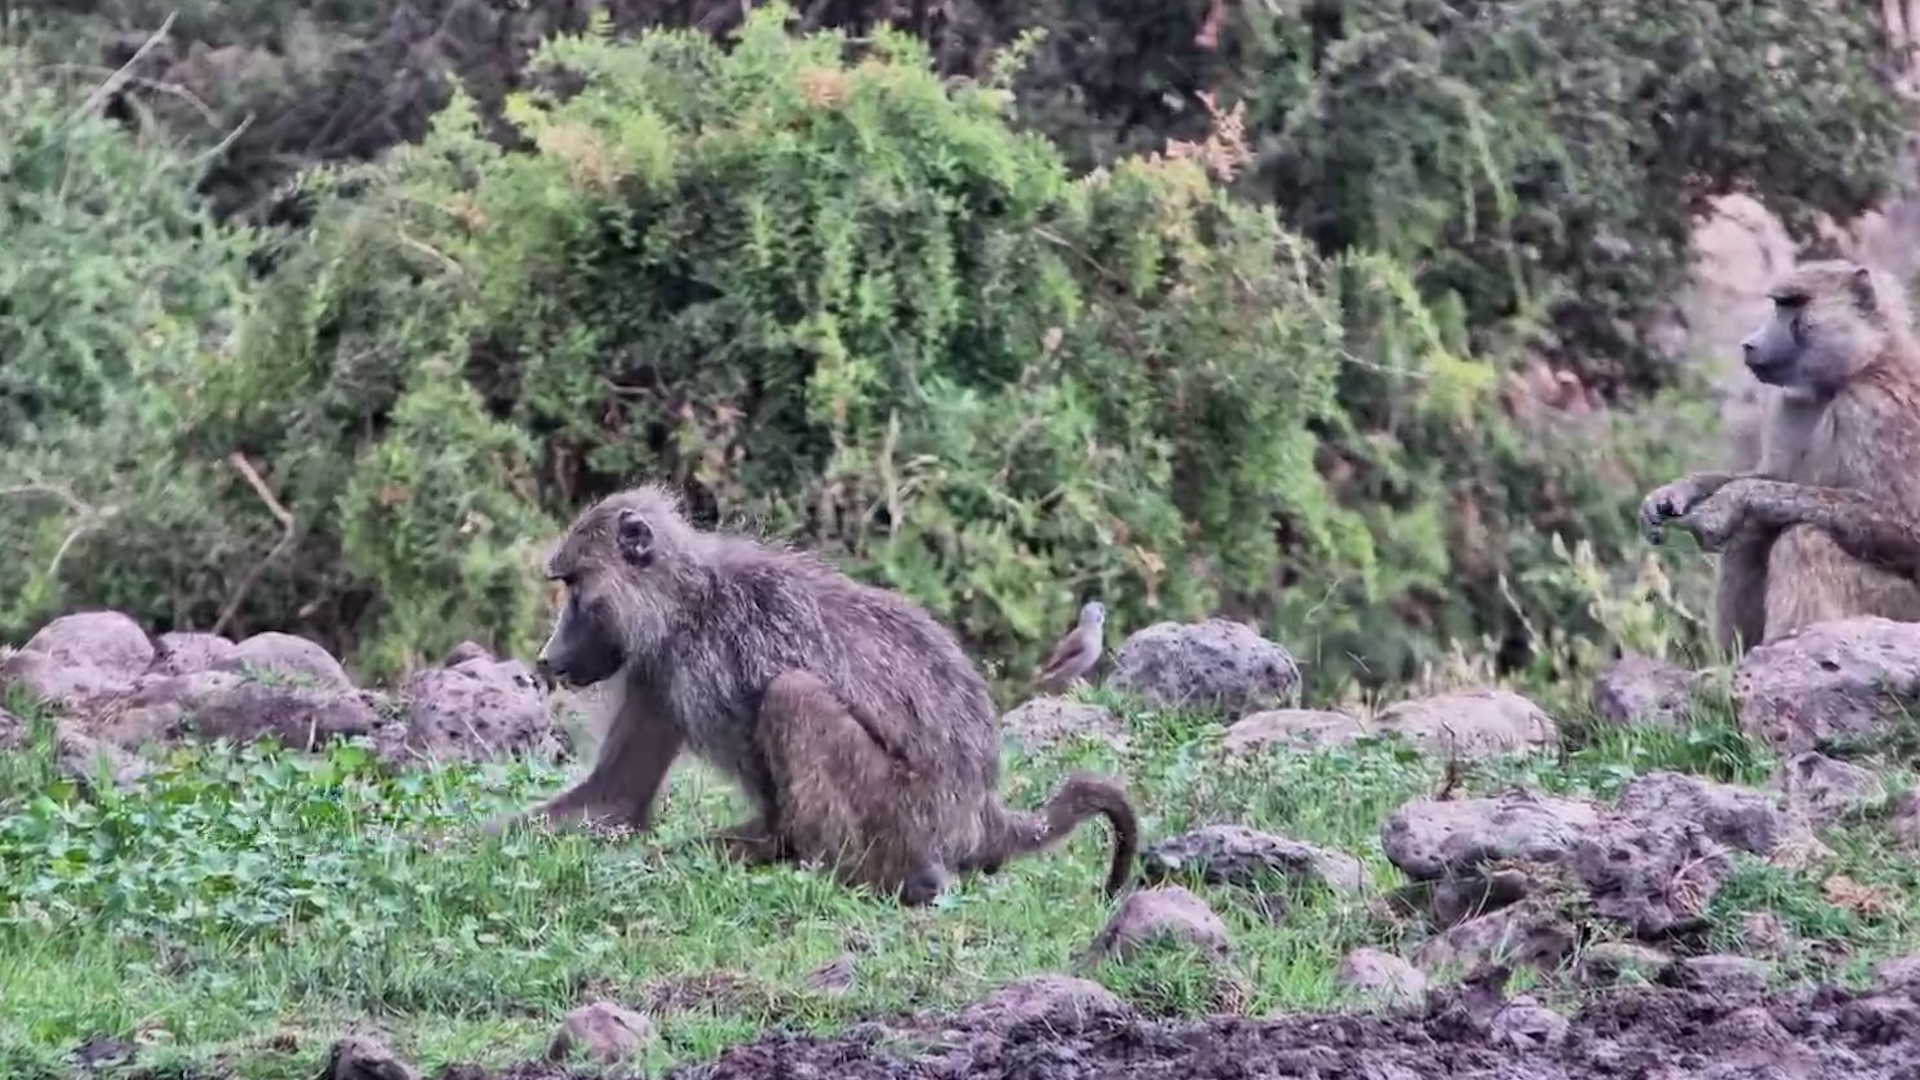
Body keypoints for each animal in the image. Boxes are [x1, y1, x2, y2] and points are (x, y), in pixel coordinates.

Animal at [487, 482, 1141, 906]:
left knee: (794, 695)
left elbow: (775, 809)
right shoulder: (655, 671)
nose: (548, 656)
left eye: (575, 588)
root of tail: (979, 810)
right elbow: (614, 799)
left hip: (907, 812)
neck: (687, 601)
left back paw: (890, 882)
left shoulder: (695, 666)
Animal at [1640, 259, 1920, 654]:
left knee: (1803, 540)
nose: (1749, 344)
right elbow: (1771, 478)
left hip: (1899, 611)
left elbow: (1907, 524)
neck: (1858, 368)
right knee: (1750, 535)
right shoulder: (1789, 403)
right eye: (1778, 304)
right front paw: (1679, 492)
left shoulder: (1874, 410)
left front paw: (1730, 499)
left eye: (1793, 304)